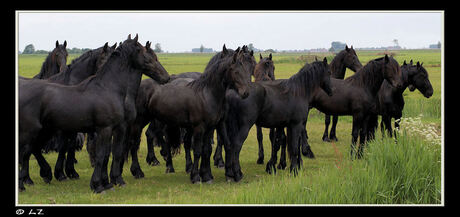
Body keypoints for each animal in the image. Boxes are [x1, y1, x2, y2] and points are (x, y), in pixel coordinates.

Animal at [18, 34, 169, 193]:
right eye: (142, 52)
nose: (165, 77)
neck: (109, 88)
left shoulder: (118, 128)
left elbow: (114, 153)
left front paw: (114, 181)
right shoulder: (104, 129)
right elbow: (101, 155)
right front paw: (97, 185)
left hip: (45, 130)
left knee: (30, 150)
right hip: (32, 132)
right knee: (25, 151)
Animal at [147, 45, 253, 183]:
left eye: (251, 67)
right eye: (236, 72)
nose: (246, 92)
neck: (207, 95)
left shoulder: (213, 126)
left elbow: (208, 149)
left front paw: (208, 175)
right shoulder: (200, 127)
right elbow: (198, 151)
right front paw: (196, 177)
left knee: (184, 142)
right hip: (164, 123)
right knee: (165, 140)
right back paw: (168, 166)